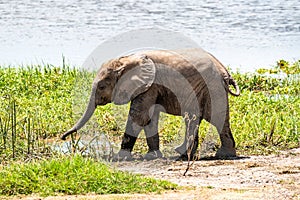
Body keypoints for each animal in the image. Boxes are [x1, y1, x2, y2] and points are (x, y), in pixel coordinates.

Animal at [60, 48, 239, 161]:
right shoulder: (152, 88)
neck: (128, 59)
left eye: (102, 87)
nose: (63, 137)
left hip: (212, 88)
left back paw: (221, 155)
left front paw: (119, 158)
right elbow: (150, 119)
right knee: (194, 119)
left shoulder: (150, 86)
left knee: (215, 119)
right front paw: (152, 156)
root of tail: (225, 72)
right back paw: (185, 155)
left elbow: (138, 117)